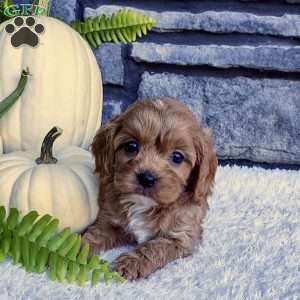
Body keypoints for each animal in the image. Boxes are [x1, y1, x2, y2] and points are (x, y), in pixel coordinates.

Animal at [82, 97, 218, 280]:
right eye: (131, 146)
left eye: (177, 157)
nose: (146, 178)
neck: (144, 204)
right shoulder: (109, 221)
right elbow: (94, 234)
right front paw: (72, 247)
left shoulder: (180, 236)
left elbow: (153, 248)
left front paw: (130, 263)